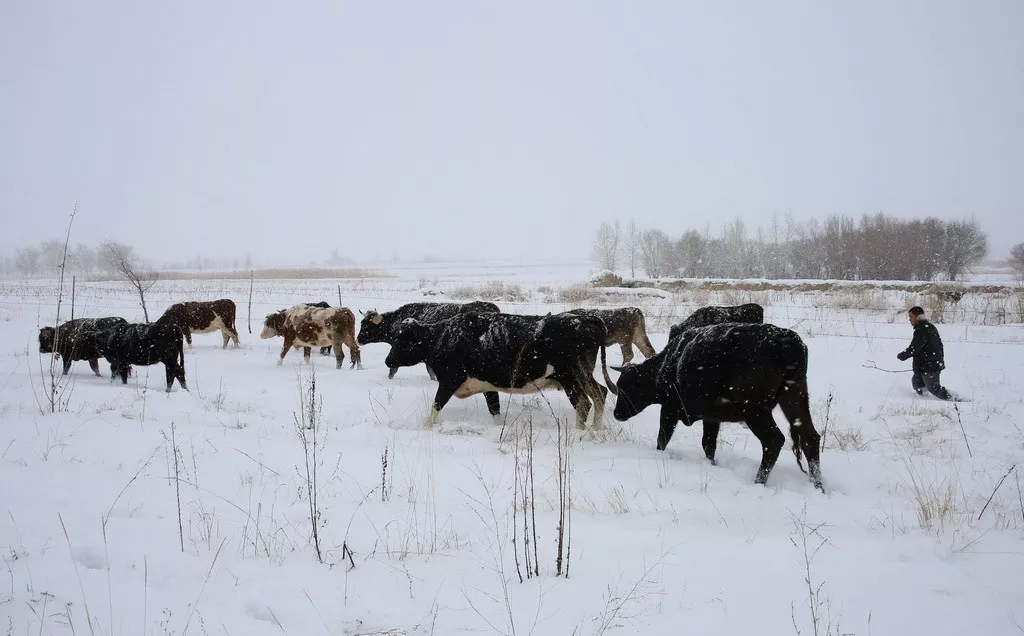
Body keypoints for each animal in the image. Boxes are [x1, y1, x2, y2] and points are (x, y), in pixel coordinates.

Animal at [385, 309, 614, 428]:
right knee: (600, 393)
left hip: (571, 377)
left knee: (583, 403)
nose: (388, 361)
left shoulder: (451, 379)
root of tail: (585, 317)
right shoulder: (487, 385)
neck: (443, 337)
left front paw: (426, 428)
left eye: (402, 340)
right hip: (584, 376)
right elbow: (494, 409)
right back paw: (595, 432)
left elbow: (435, 406)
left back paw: (579, 434)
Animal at [610, 321, 819, 491]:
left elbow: (663, 438)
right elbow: (708, 445)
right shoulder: (711, 417)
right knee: (810, 437)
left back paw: (759, 482)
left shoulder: (670, 409)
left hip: (755, 411)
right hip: (795, 396)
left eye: (625, 387)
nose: (617, 414)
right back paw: (818, 486)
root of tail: (788, 341)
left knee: (773, 440)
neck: (666, 365)